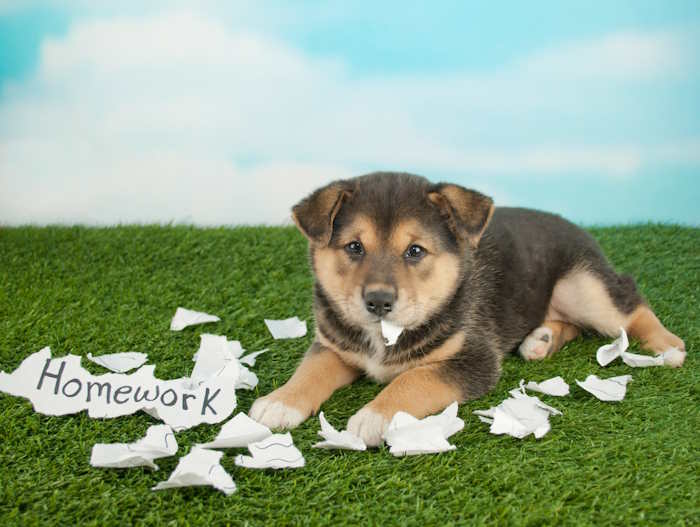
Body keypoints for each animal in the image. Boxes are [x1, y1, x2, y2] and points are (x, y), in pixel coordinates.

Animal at [249, 172, 688, 446]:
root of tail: (577, 226)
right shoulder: (334, 346)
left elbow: (413, 380)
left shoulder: (472, 360)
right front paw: (280, 401)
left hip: (584, 287)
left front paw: (375, 416)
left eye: (415, 251)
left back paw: (668, 346)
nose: (378, 302)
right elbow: (310, 370)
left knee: (629, 304)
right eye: (354, 247)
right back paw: (542, 340)